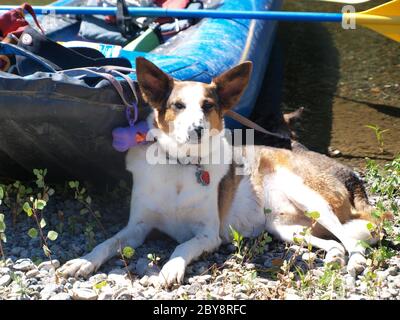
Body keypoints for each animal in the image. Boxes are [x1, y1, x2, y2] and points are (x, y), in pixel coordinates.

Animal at [58, 57, 378, 284]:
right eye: (178, 105)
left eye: (208, 105)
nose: (196, 129)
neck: (182, 165)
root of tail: (350, 176)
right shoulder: (137, 228)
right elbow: (106, 243)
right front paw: (82, 262)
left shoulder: (207, 234)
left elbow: (180, 248)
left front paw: (170, 269)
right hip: (284, 227)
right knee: (333, 243)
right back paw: (334, 258)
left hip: (309, 198)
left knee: (351, 240)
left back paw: (356, 261)